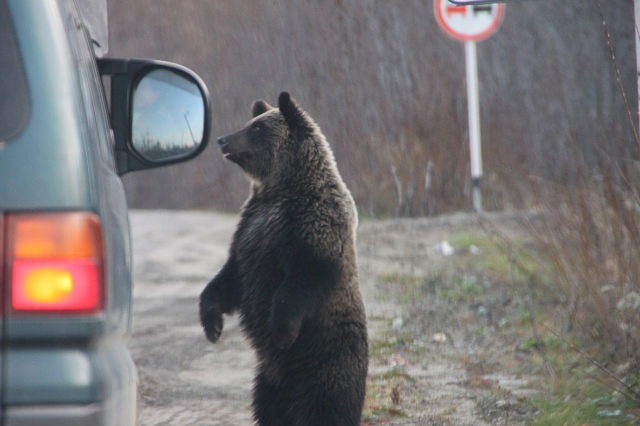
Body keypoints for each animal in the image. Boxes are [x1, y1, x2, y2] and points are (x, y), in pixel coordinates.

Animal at [200, 92, 370, 426]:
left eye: (256, 128)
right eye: (251, 122)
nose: (223, 139)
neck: (284, 187)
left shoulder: (310, 227)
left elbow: (304, 279)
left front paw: (280, 331)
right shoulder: (250, 229)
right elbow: (231, 277)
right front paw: (211, 324)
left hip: (324, 367)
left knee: (326, 408)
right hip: (268, 382)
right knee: (270, 410)